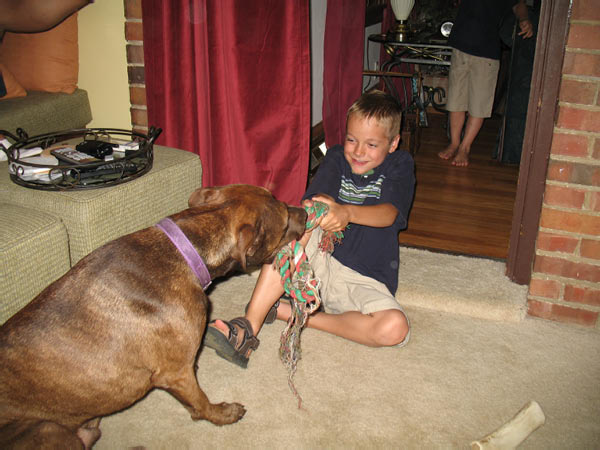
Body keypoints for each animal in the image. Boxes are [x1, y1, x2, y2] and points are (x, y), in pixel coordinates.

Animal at [0, 185, 308, 448]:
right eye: (283, 223)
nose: (306, 212)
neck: (183, 252)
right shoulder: (177, 373)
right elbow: (201, 403)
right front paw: (223, 413)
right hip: (47, 428)